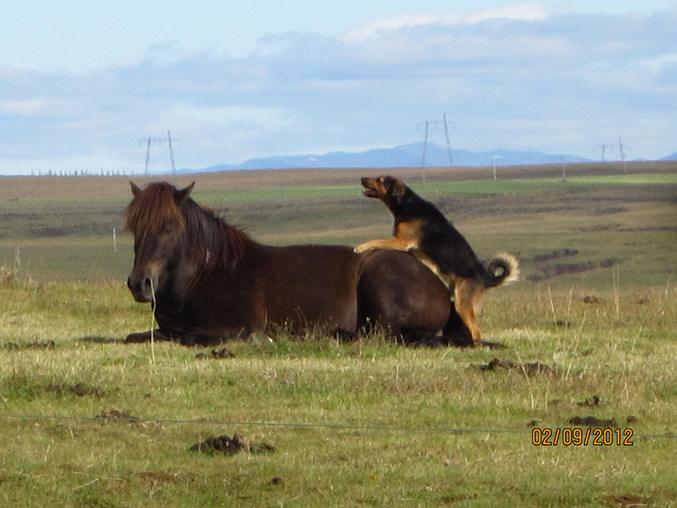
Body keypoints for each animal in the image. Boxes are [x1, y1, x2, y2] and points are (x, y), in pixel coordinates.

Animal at [123, 182, 470, 346]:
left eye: (168, 227)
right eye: (134, 228)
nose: (139, 284)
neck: (207, 274)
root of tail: (440, 286)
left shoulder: (236, 325)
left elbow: (188, 337)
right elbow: (142, 336)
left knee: (383, 336)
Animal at [354, 176, 516, 346]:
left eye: (380, 180)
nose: (362, 178)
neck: (406, 204)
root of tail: (486, 278)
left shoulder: (401, 241)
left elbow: (377, 240)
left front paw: (361, 247)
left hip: (462, 303)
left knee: (476, 332)